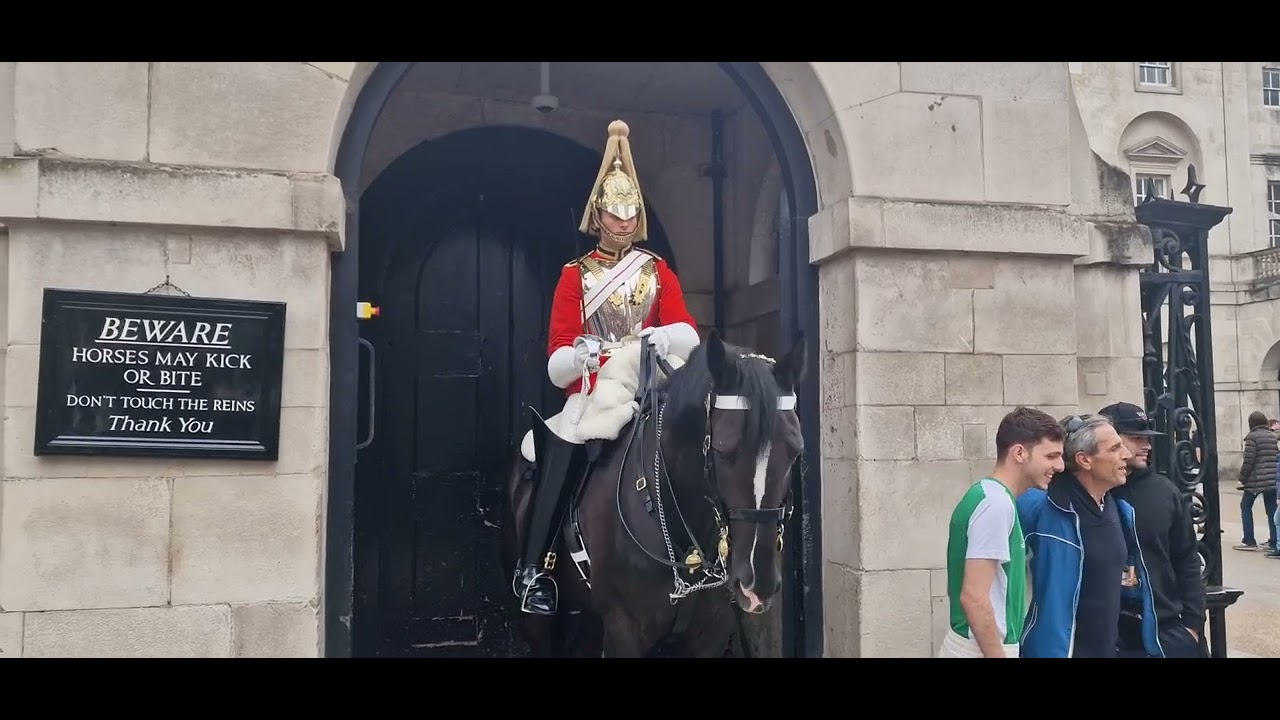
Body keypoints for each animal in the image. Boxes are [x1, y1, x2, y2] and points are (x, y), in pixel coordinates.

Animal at [496, 330, 798, 655]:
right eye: (723, 449)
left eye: (796, 450)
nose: (758, 584)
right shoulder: (624, 627)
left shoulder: (711, 630)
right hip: (537, 621)